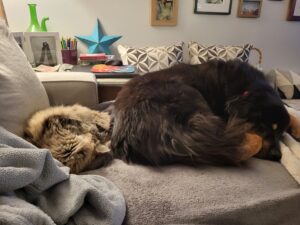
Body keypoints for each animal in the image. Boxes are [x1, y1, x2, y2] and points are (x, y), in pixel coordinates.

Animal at [111, 60, 298, 166]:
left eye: (281, 133)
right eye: (266, 127)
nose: (277, 156)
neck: (248, 89)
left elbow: (291, 113)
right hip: (189, 93)